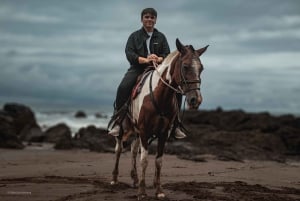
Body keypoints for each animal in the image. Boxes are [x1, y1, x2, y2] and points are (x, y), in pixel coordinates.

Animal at [110, 38, 209, 199]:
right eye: (185, 66)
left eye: (201, 68)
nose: (196, 100)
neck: (160, 96)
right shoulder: (144, 131)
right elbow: (144, 160)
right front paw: (142, 192)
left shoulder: (163, 133)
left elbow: (159, 161)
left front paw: (159, 190)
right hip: (124, 129)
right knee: (118, 149)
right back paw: (114, 179)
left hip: (137, 132)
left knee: (133, 150)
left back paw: (135, 179)